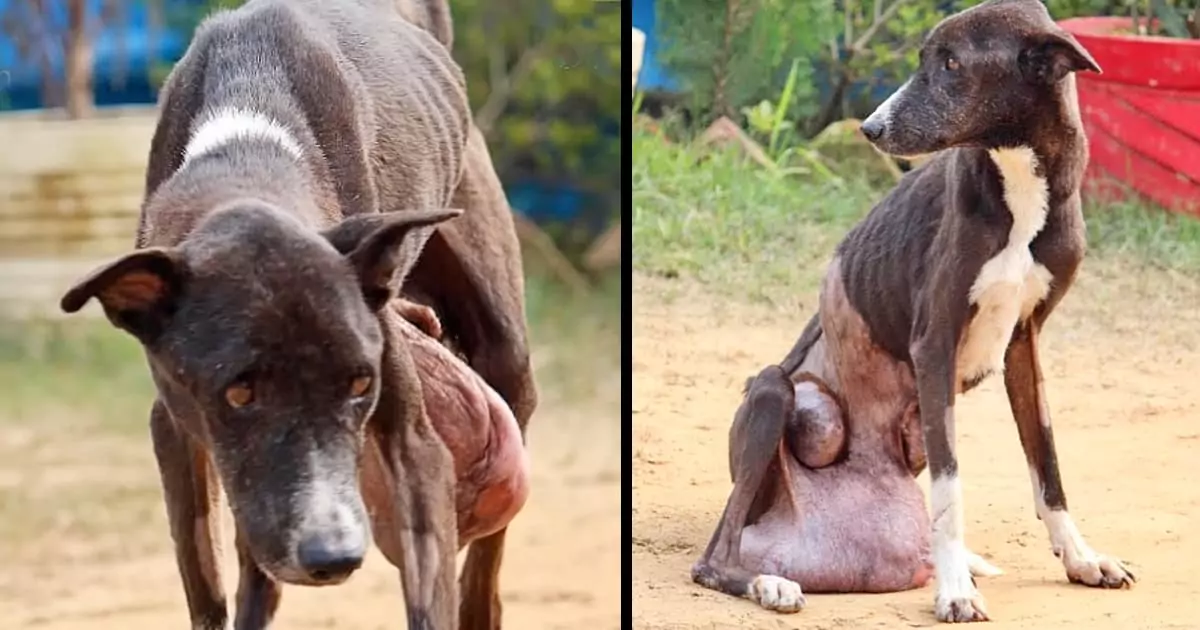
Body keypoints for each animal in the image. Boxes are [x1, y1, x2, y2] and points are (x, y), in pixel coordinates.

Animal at [56, 1, 535, 628]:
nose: (334, 557)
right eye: (238, 392)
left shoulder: (412, 443)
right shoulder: (176, 430)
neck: (246, 158)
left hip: (504, 353)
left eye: (361, 385)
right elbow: (206, 583)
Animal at [696, 0, 1132, 619]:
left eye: (951, 63)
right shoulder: (935, 346)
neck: (1018, 184)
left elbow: (1046, 465)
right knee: (713, 555)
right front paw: (954, 589)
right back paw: (767, 583)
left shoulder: (1023, 346)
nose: (869, 129)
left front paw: (1079, 557)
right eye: (929, 58)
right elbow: (951, 489)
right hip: (775, 391)